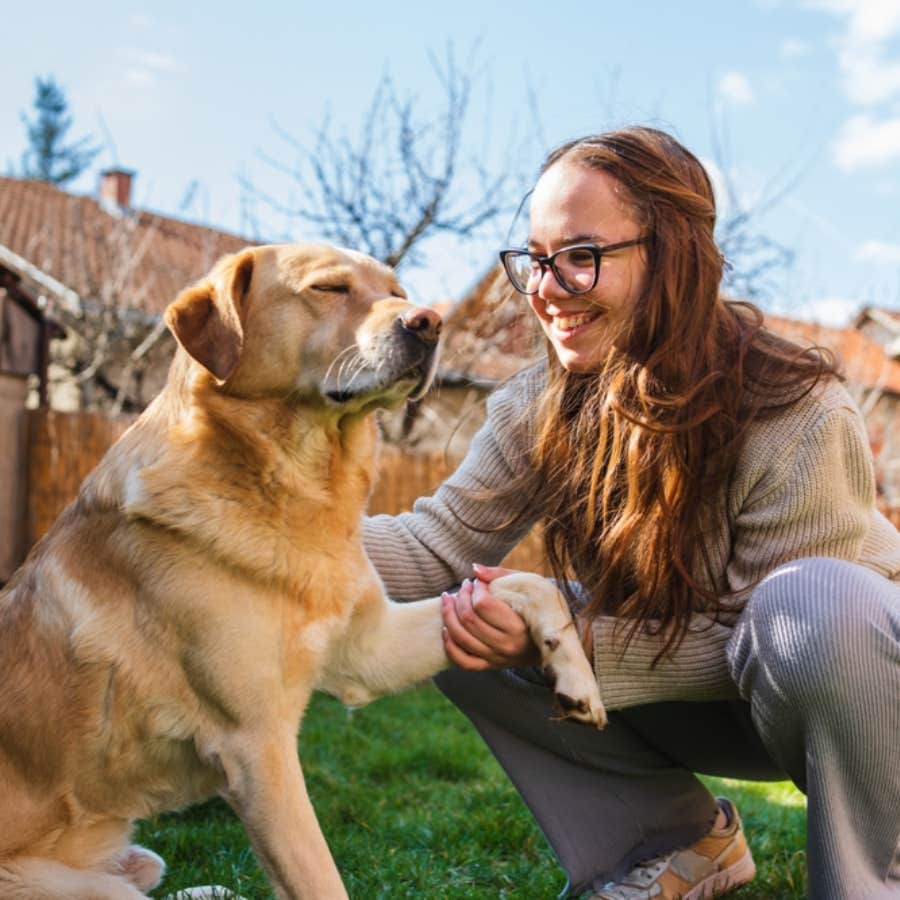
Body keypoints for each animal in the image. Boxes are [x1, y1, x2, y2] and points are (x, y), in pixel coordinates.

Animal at [1, 243, 604, 896]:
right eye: (328, 288)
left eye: (395, 290)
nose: (429, 323)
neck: (299, 486)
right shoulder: (257, 749)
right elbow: (320, 880)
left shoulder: (367, 651)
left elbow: (531, 582)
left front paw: (576, 676)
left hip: (137, 858)